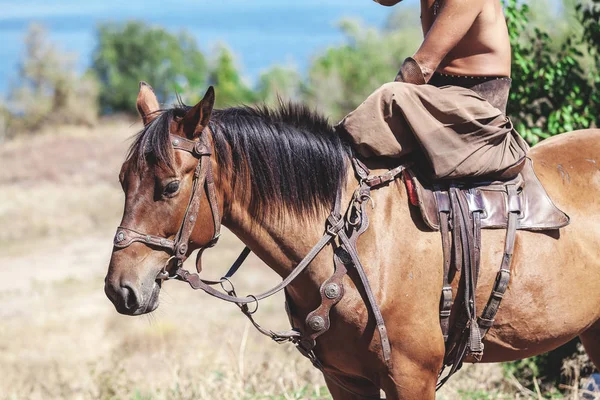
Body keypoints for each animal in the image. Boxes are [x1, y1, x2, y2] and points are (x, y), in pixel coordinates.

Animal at [104, 83, 600, 398]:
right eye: (123, 180)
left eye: (170, 186)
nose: (120, 289)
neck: (352, 245)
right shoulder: (344, 380)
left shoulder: (412, 379)